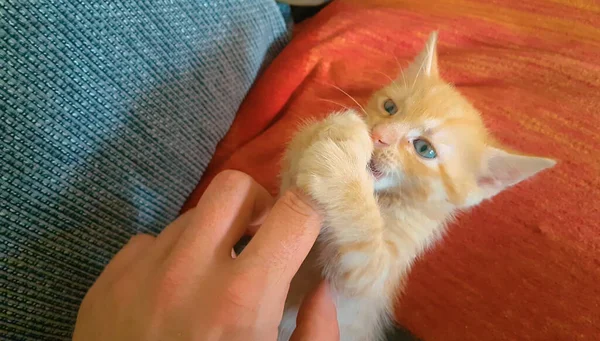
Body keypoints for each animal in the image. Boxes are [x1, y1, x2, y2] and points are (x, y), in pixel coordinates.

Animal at [278, 32, 556, 340]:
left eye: (424, 149)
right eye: (390, 107)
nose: (377, 135)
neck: (385, 197)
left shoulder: (369, 282)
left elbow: (363, 250)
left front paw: (343, 172)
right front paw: (328, 130)